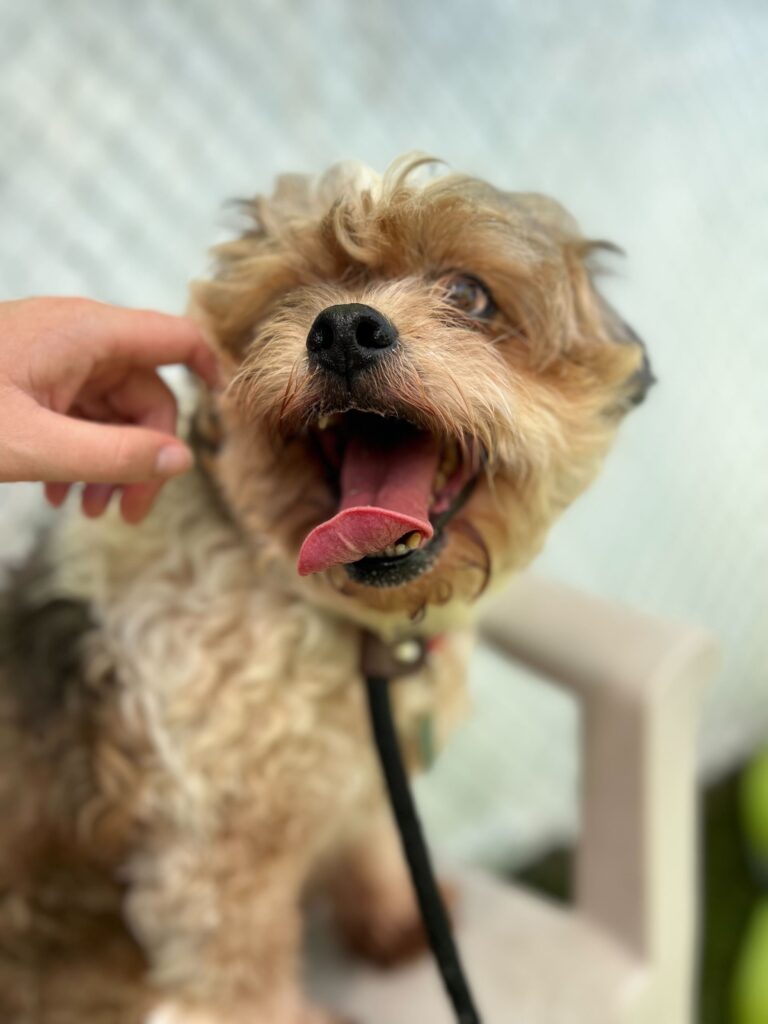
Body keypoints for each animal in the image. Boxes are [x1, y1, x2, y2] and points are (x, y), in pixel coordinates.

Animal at [0, 154, 652, 1023]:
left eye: (470, 294)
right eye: (290, 295)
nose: (343, 326)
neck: (353, 633)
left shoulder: (372, 774)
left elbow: (377, 838)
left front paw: (399, 920)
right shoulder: (215, 867)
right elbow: (244, 984)